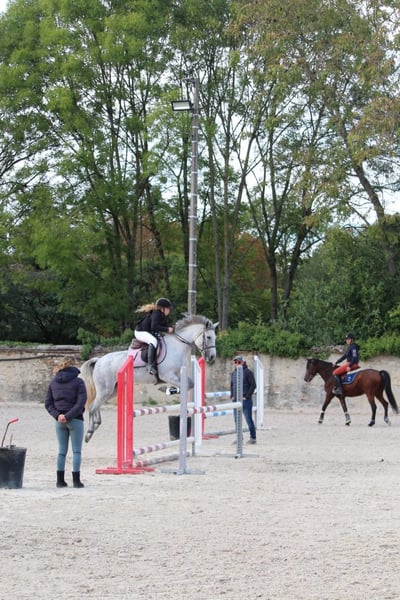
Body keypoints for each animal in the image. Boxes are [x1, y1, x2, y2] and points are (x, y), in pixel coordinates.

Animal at [80, 314, 218, 442]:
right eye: (209, 337)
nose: (212, 357)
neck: (177, 346)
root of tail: (98, 360)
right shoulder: (168, 375)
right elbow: (186, 385)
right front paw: (167, 390)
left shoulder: (178, 375)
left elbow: (190, 384)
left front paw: (169, 390)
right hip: (106, 390)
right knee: (92, 407)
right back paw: (89, 433)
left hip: (112, 391)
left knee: (96, 405)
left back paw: (96, 424)